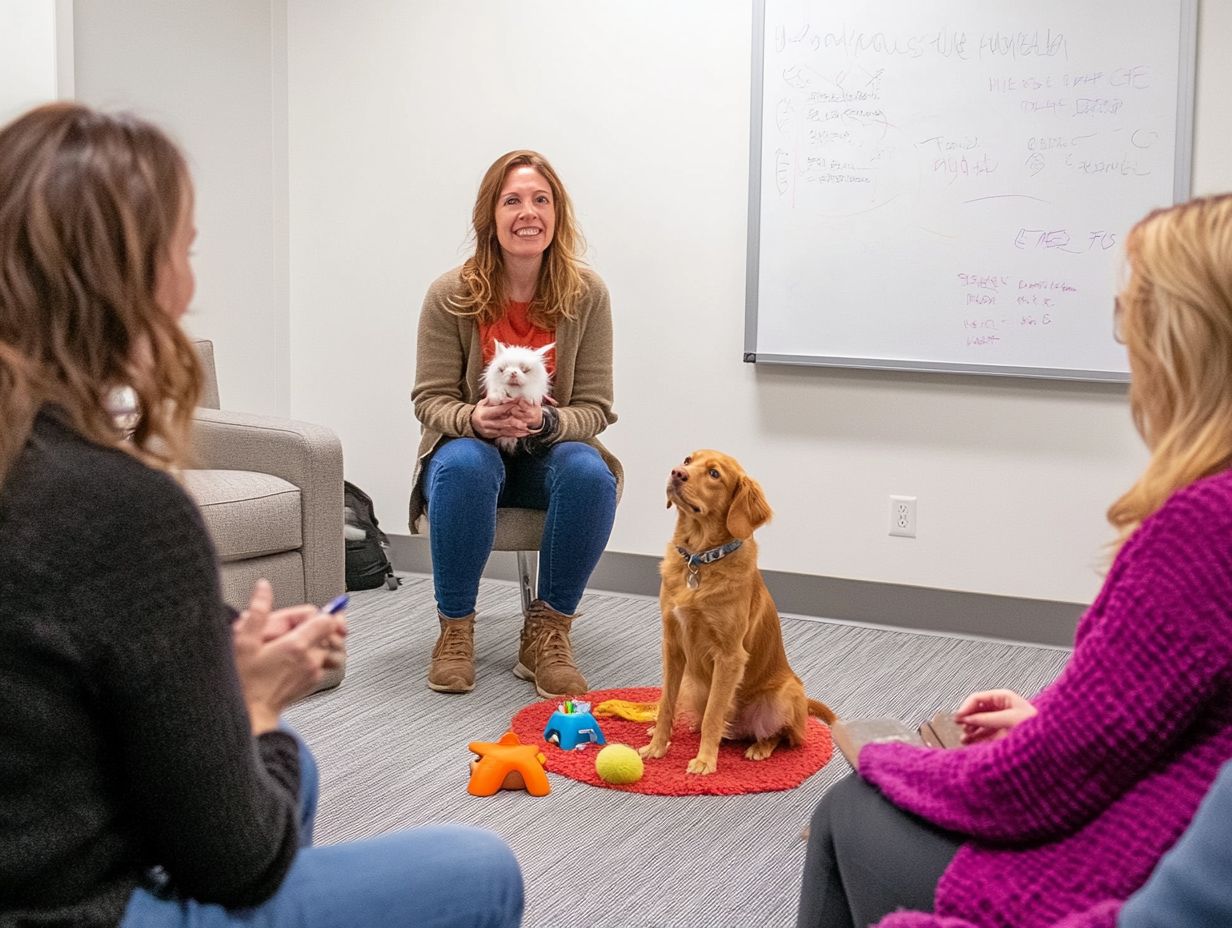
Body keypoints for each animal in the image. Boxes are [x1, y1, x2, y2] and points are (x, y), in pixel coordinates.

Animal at [645, 448, 837, 773]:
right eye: (687, 460)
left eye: (714, 474)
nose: (676, 473)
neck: (699, 560)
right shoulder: (672, 645)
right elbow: (666, 702)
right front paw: (656, 745)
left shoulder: (729, 656)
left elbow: (713, 715)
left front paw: (704, 761)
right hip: (693, 684)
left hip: (785, 694)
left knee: (783, 734)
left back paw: (760, 747)